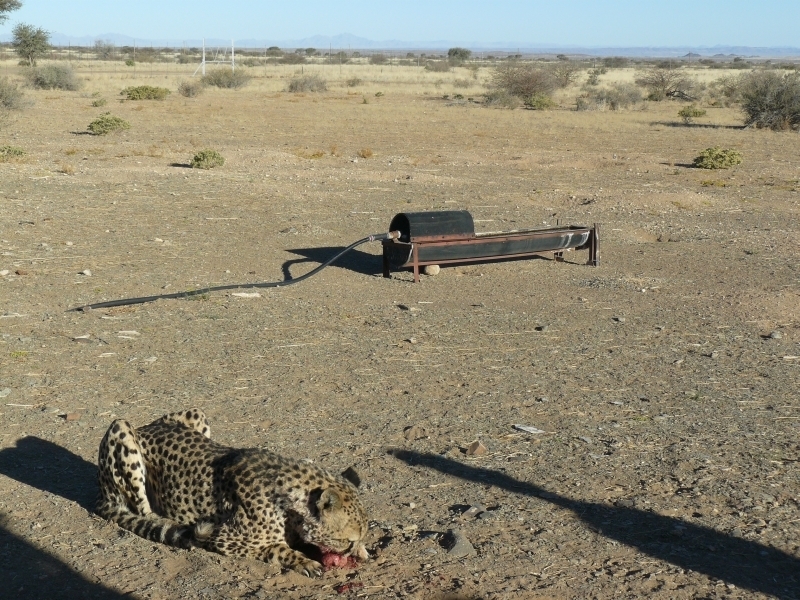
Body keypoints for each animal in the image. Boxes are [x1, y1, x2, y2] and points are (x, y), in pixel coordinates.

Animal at [97, 408, 368, 576]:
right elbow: (277, 548)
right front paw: (303, 560)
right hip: (121, 429)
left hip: (196, 413)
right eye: (349, 540)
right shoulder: (222, 539)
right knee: (143, 511)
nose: (355, 553)